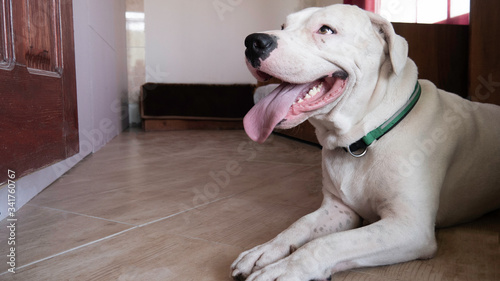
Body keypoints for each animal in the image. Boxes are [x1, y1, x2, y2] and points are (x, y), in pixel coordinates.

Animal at [231, 4, 500, 280]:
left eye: (326, 29)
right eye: (284, 26)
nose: (253, 42)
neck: (363, 139)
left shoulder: (409, 226)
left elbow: (326, 244)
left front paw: (287, 267)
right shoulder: (338, 210)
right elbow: (300, 224)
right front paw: (265, 250)